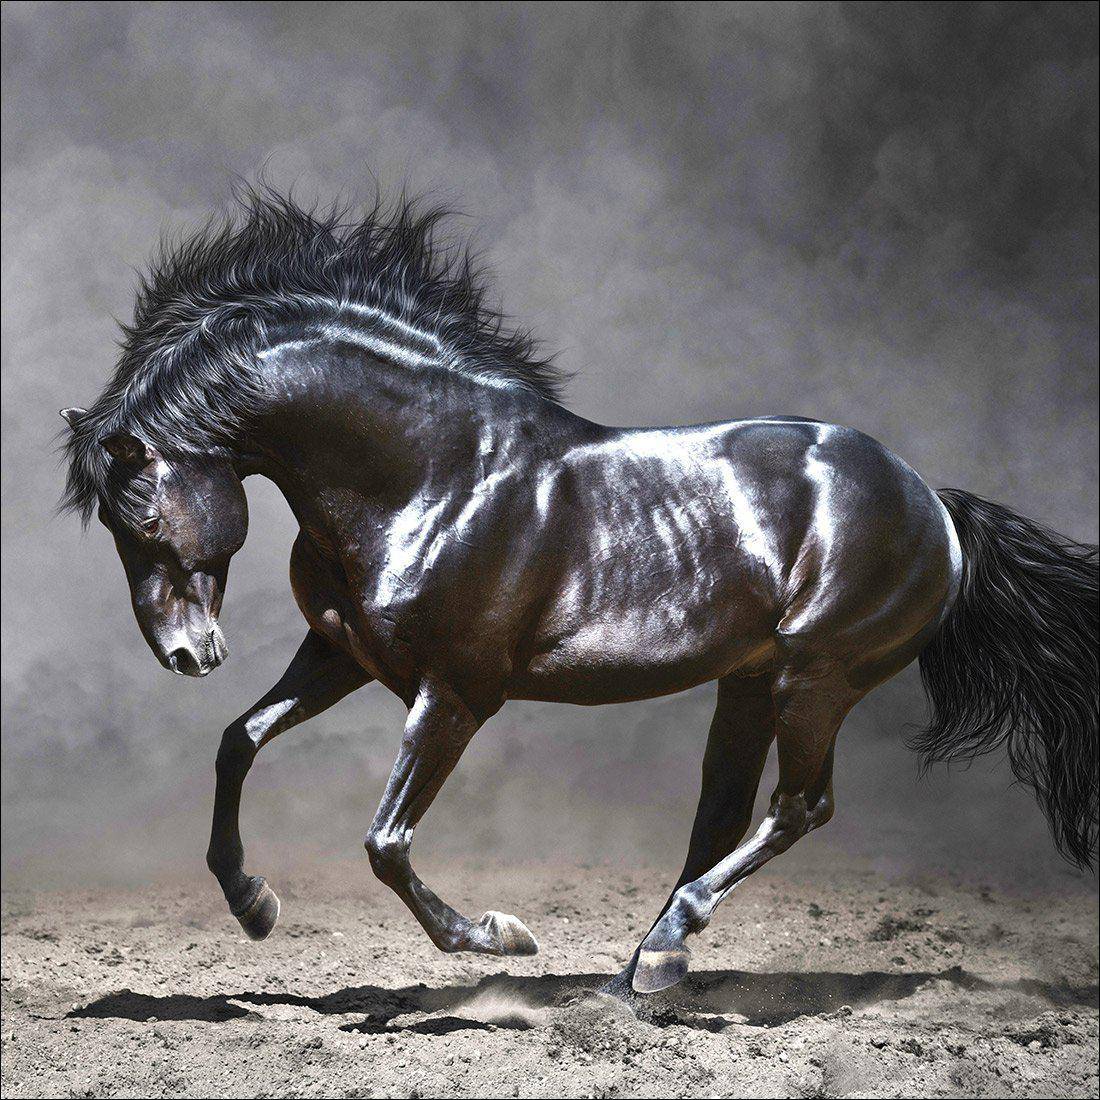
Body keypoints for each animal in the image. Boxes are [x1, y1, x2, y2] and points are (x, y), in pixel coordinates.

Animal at [61, 190, 1098, 996]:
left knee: (799, 808)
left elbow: (386, 840)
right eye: (110, 528)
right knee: (723, 813)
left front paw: (497, 936)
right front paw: (254, 906)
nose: (186, 654)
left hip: (817, 678)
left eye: (141, 519)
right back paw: (637, 974)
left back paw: (666, 953)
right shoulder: (342, 655)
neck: (431, 473)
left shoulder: (457, 693)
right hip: (749, 681)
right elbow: (239, 741)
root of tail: (934, 503)